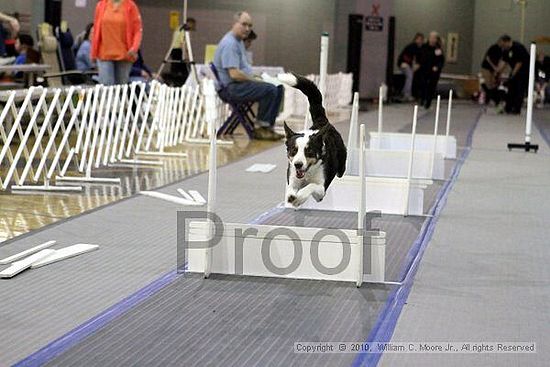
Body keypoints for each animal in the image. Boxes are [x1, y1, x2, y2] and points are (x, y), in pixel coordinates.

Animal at [278, 73, 348, 208]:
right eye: (293, 150)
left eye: (309, 151)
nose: (298, 164)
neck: (308, 172)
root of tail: (321, 121)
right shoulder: (292, 178)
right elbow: (290, 190)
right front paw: (292, 197)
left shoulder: (321, 189)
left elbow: (311, 186)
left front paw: (299, 198)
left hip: (341, 166)